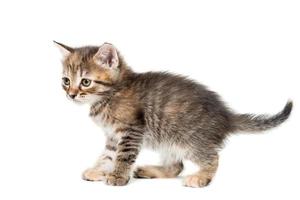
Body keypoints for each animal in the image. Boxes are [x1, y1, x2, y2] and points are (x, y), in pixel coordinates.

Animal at [55, 41, 292, 188]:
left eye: (86, 82)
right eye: (65, 81)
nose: (71, 94)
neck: (111, 94)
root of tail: (226, 115)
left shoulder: (131, 130)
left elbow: (123, 155)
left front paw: (118, 176)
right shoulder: (114, 135)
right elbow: (108, 154)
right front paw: (100, 170)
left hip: (189, 139)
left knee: (213, 157)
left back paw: (201, 178)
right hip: (166, 140)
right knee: (176, 166)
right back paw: (150, 171)